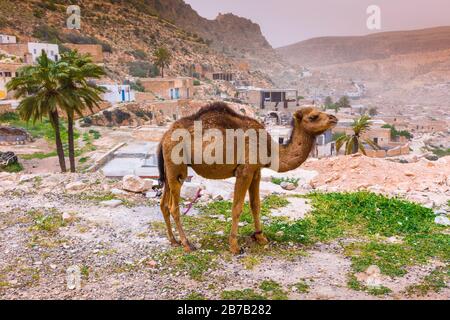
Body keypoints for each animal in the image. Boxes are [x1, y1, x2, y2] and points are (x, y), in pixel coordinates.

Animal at [158, 101, 338, 254]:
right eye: (313, 116)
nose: (334, 118)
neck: (269, 149)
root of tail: (164, 136)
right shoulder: (244, 171)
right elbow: (237, 208)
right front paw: (234, 247)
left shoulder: (256, 171)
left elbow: (255, 205)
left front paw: (260, 237)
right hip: (176, 164)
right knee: (173, 206)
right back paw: (187, 244)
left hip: (168, 169)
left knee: (163, 203)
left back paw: (173, 240)